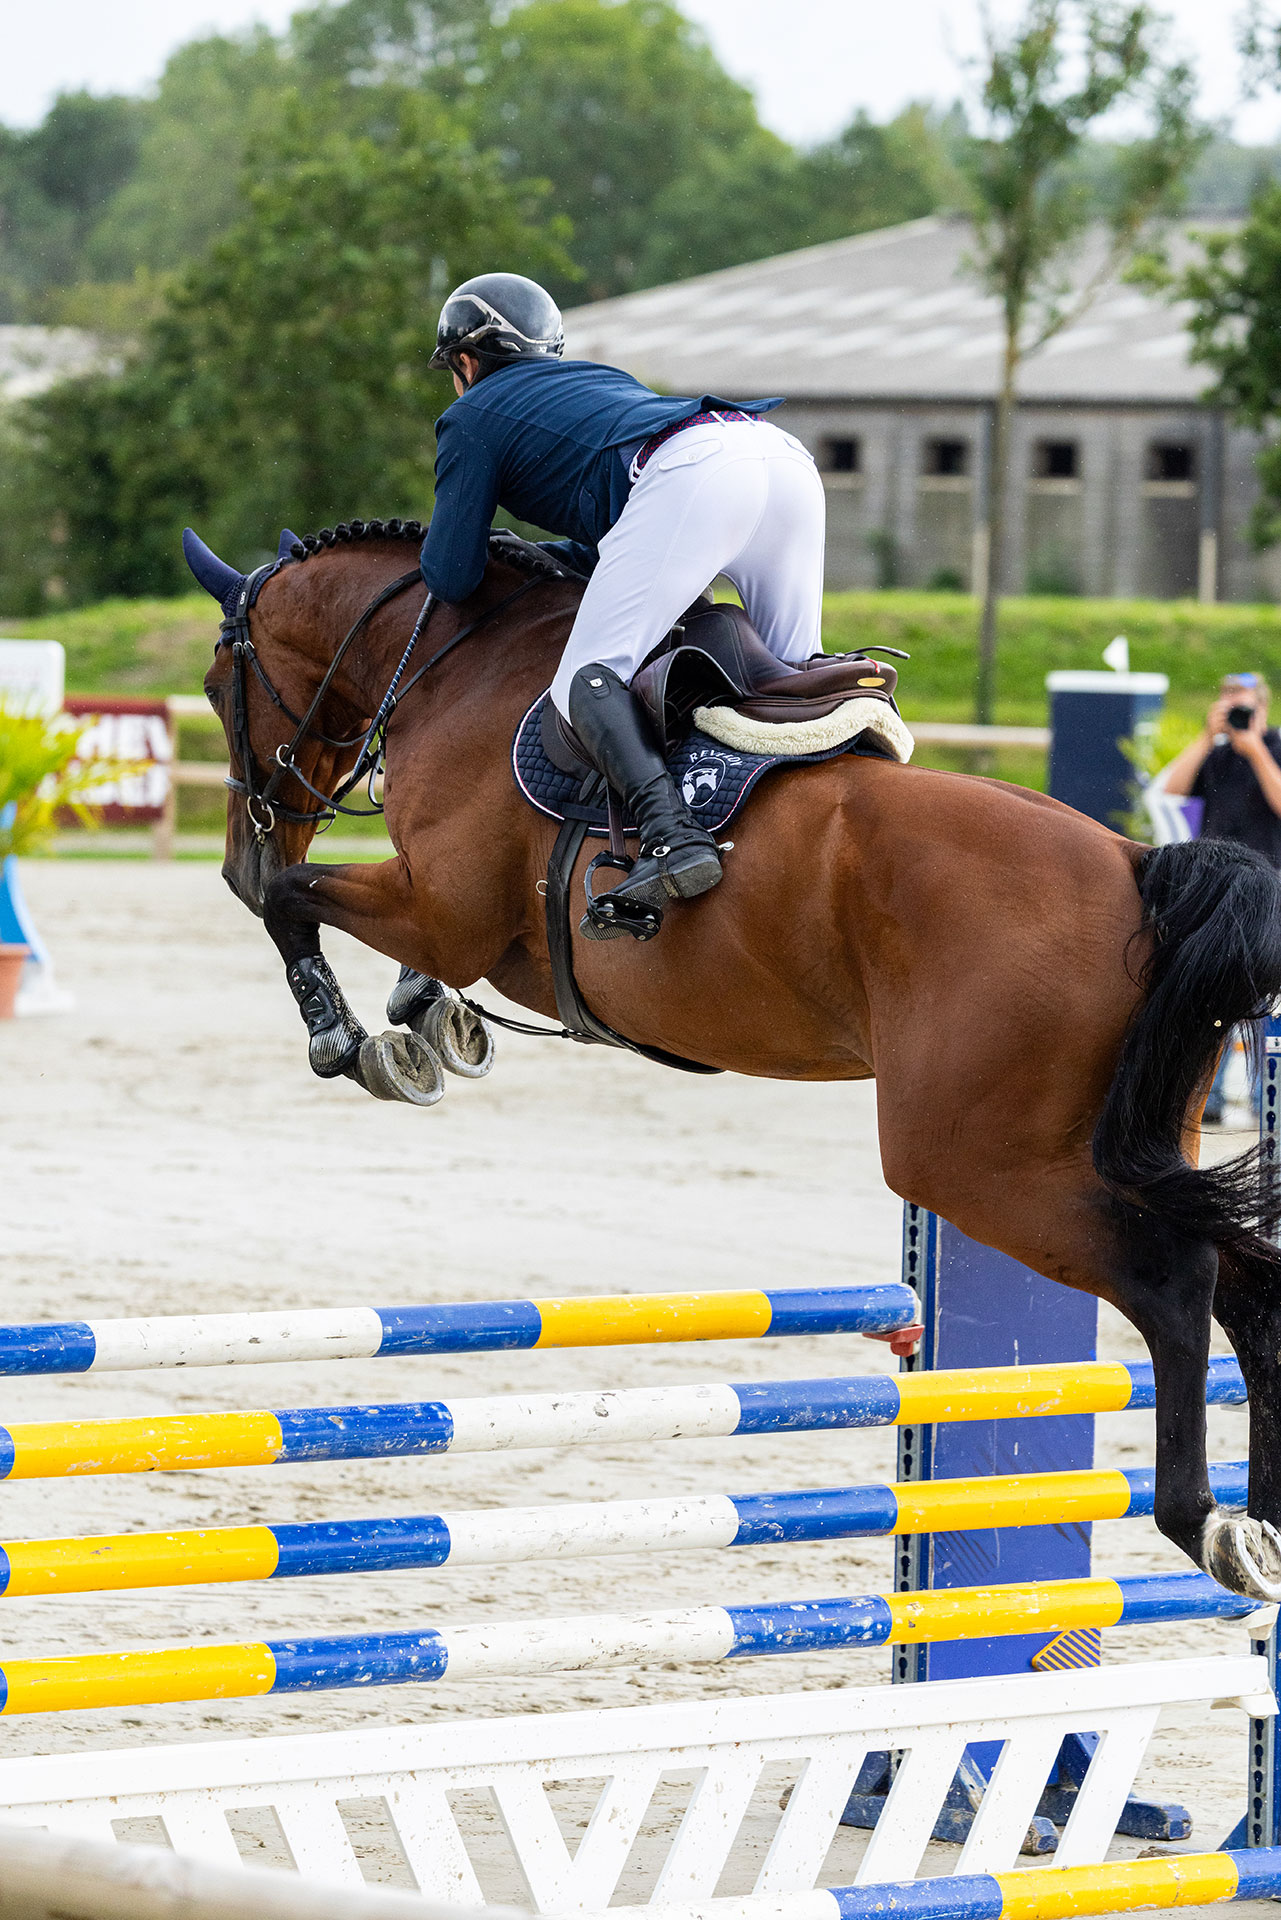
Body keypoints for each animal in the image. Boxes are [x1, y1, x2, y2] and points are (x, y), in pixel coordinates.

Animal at [189, 517, 1281, 1605]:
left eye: (212, 686)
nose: (234, 858)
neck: (457, 661)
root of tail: (1138, 864)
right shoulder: (471, 933)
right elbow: (375, 949)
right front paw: (429, 1026)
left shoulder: (441, 908)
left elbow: (295, 898)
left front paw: (351, 1039)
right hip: (1121, 1144)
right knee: (1243, 1279)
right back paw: (1262, 1519)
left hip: (974, 1163)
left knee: (1175, 1280)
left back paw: (1203, 1523)